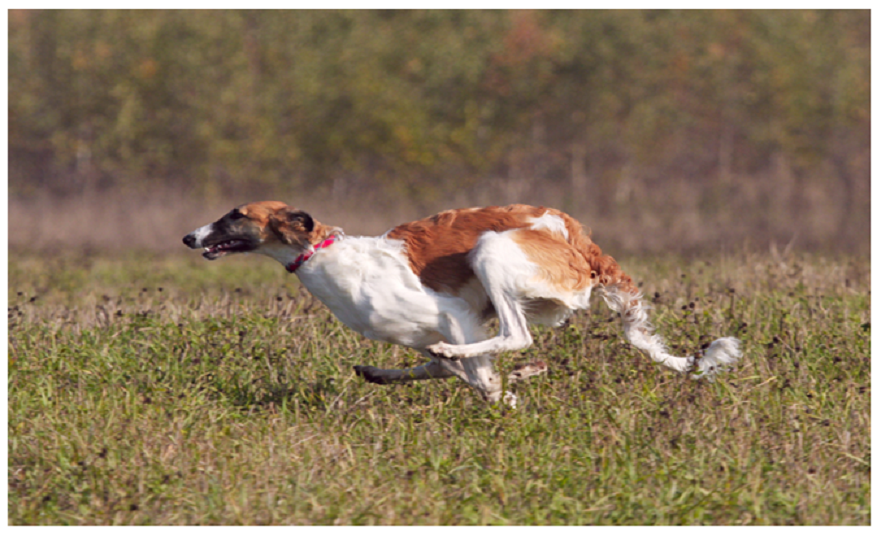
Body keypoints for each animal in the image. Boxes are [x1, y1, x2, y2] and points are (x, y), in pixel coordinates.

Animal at [183, 204, 740, 406]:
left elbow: (476, 372)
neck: (324, 254)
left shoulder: (454, 315)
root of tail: (578, 236)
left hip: (492, 252)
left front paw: (506, 393)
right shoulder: (428, 332)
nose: (189, 236)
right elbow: (450, 370)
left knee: (516, 335)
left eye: (235, 215)